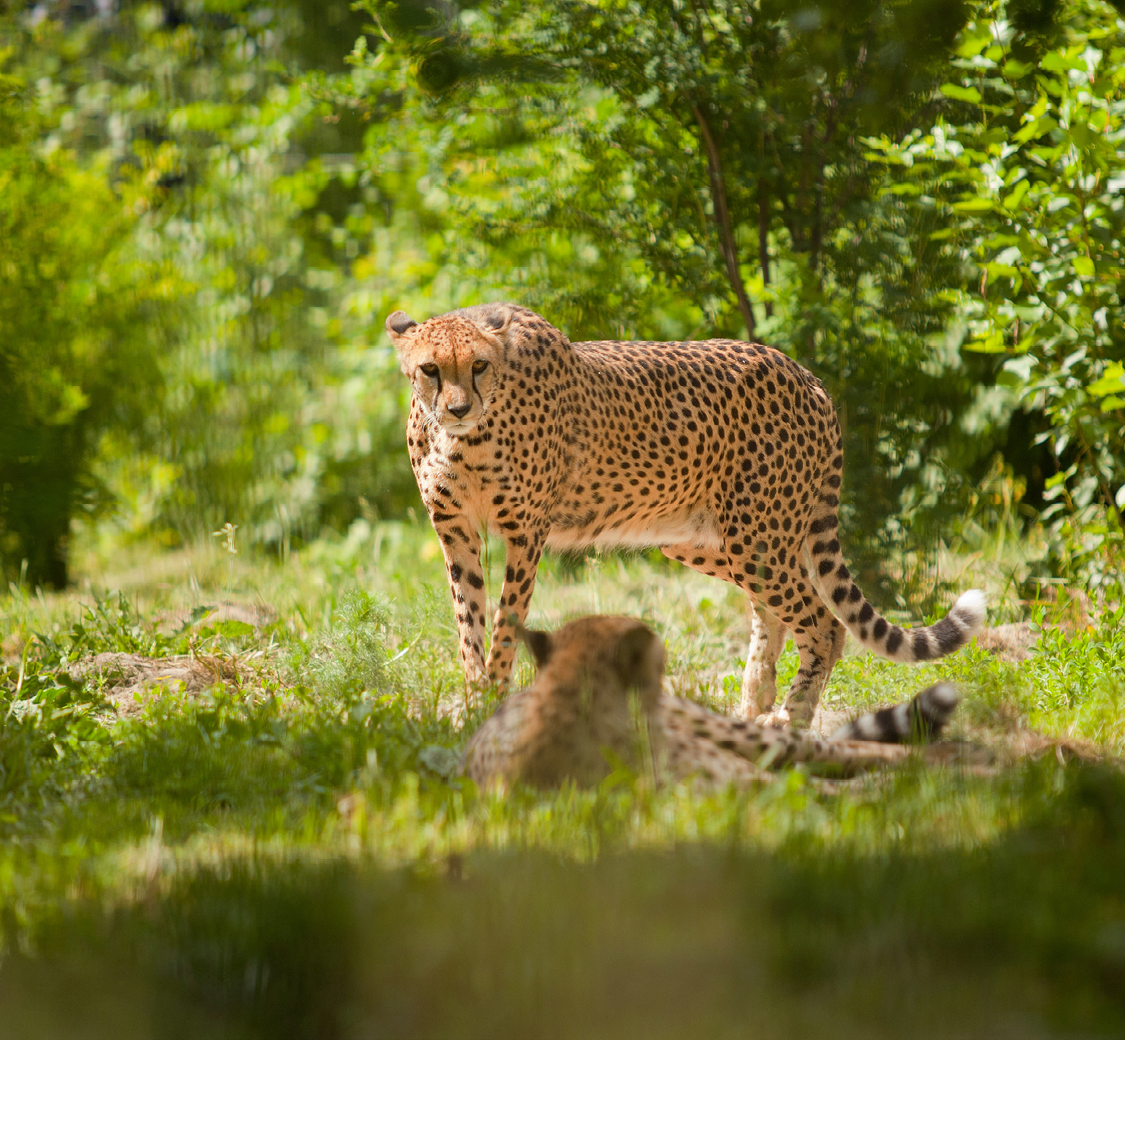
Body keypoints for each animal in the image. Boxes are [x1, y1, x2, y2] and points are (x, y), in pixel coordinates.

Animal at [389, 306, 985, 729]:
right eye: (430, 370)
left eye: (479, 366)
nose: (458, 407)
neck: (465, 438)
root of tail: (802, 372)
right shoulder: (455, 533)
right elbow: (469, 622)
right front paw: (474, 702)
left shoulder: (525, 535)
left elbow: (505, 626)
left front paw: (492, 699)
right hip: (708, 540)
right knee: (772, 612)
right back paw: (752, 708)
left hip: (756, 535)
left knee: (823, 622)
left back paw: (790, 718)